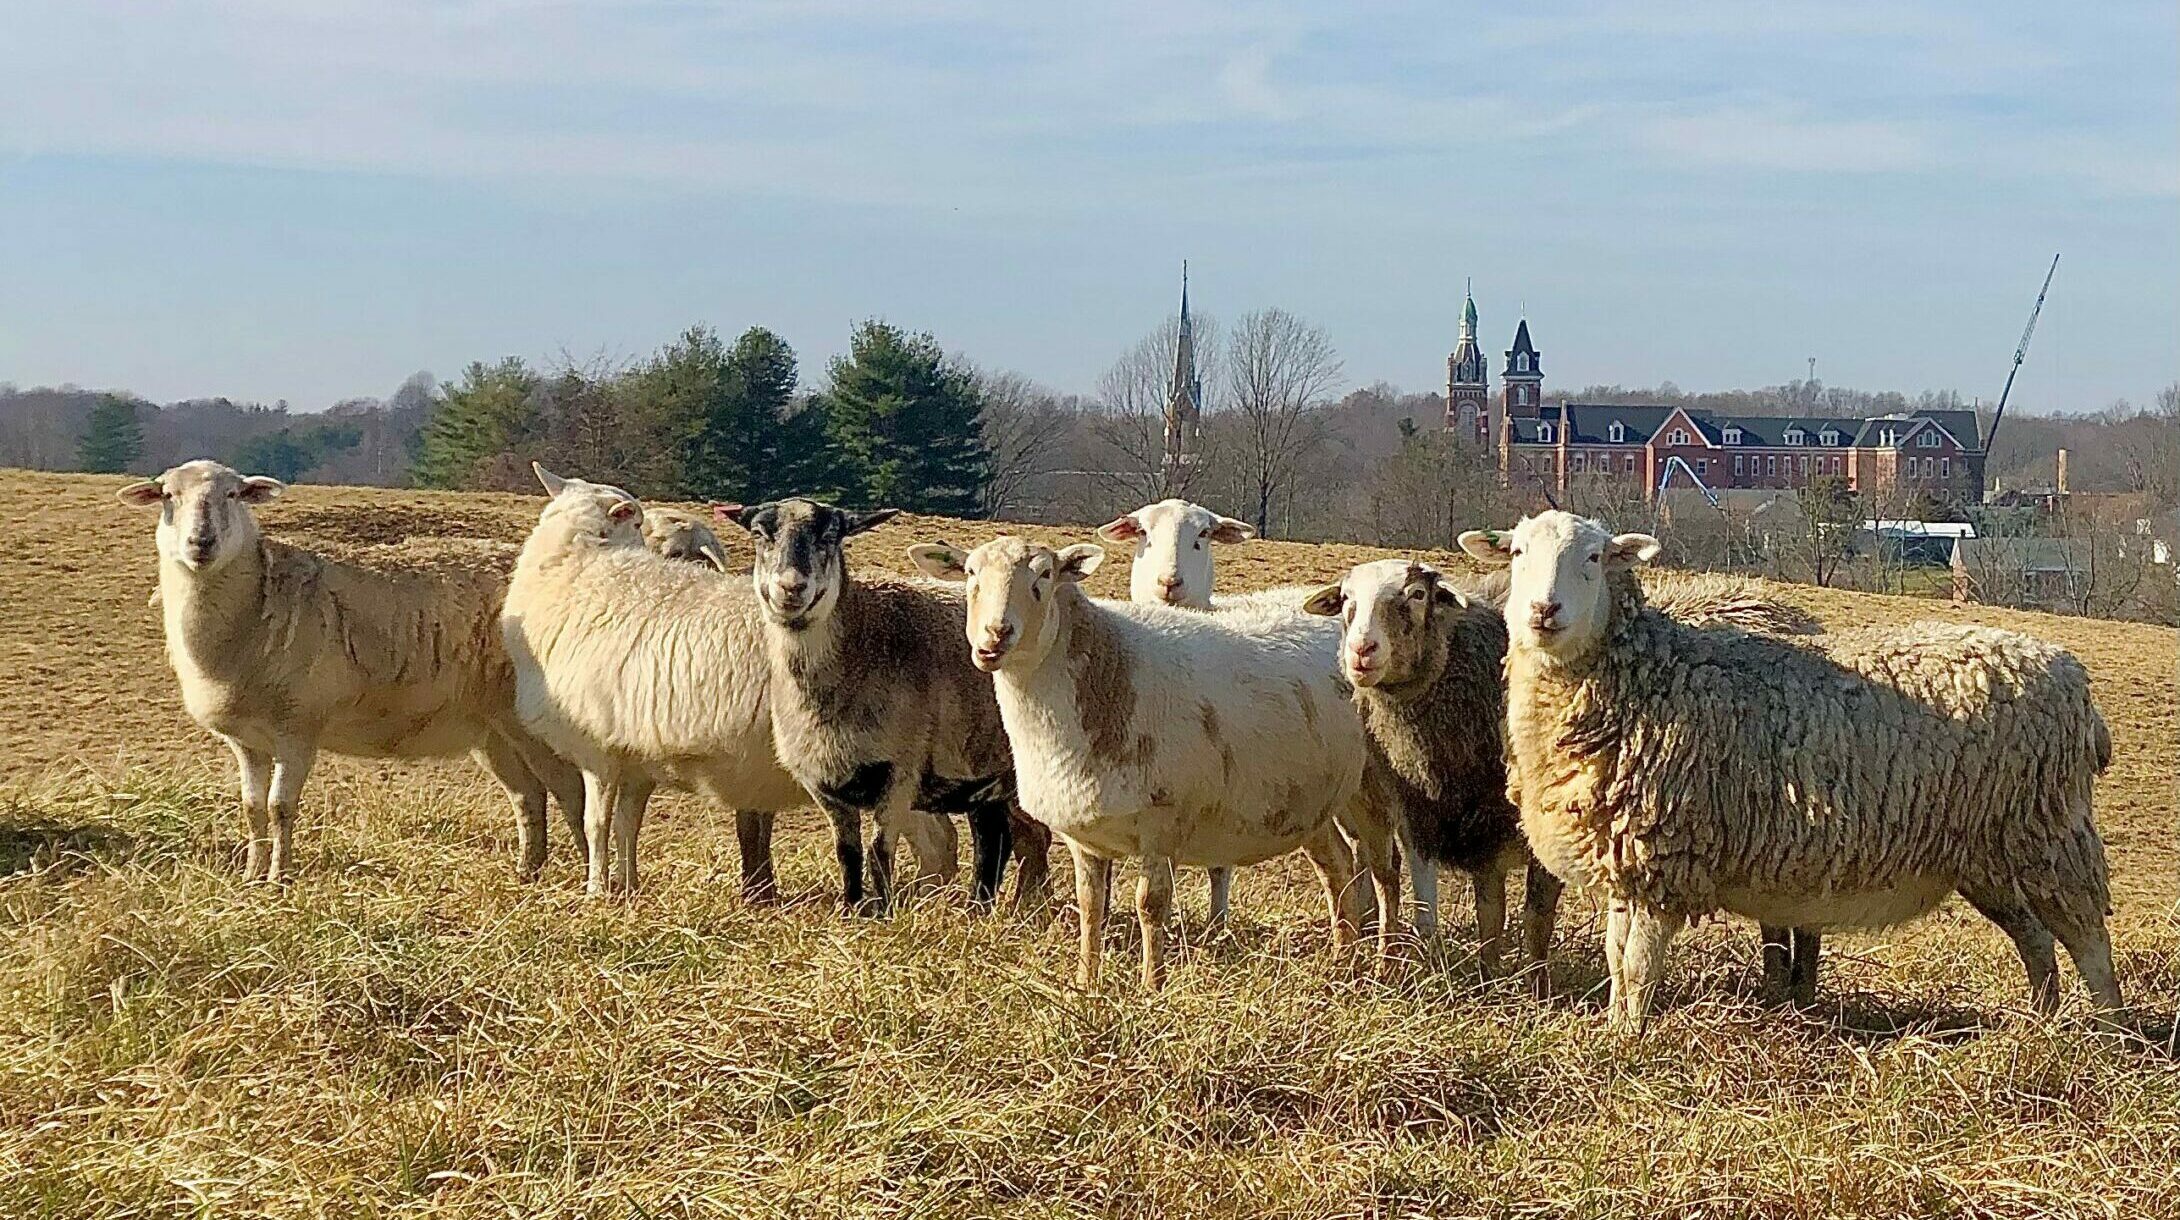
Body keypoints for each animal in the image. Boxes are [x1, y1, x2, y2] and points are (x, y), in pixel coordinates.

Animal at [114, 461, 584, 880]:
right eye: (167, 496)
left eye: (233, 494)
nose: (201, 542)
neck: (258, 601)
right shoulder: (247, 741)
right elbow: (251, 809)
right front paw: (250, 876)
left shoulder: (298, 728)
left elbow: (279, 808)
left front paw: (279, 877)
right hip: (491, 727)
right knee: (529, 795)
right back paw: (528, 870)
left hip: (532, 720)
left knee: (571, 790)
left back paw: (583, 876)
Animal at [719, 498, 1042, 915]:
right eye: (760, 534)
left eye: (830, 535)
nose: (791, 588)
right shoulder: (823, 783)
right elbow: (848, 852)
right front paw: (852, 909)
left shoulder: (900, 772)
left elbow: (878, 850)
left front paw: (884, 913)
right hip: (985, 774)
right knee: (993, 839)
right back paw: (979, 909)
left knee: (1029, 839)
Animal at [906, 535, 1395, 993]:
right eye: (970, 573)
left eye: (1044, 575)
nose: (994, 636)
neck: (1109, 673)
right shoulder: (1084, 835)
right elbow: (1091, 905)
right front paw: (1086, 983)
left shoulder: (1164, 821)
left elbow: (1150, 905)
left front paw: (1151, 985)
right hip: (1312, 802)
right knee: (1338, 868)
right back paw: (1342, 962)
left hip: (1372, 787)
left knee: (1384, 871)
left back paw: (1385, 964)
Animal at [1456, 509, 2118, 1023]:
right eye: (1518, 553)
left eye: (1594, 557)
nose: (1544, 610)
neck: (1648, 675)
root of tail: (2068, 672)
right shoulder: (1629, 860)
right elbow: (1619, 962)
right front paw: (1614, 1031)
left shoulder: (1663, 856)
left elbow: (1639, 966)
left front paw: (1631, 1043)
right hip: (1989, 851)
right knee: (2035, 938)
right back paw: (2041, 1021)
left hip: (2047, 831)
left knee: (2087, 938)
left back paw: (2108, 1036)